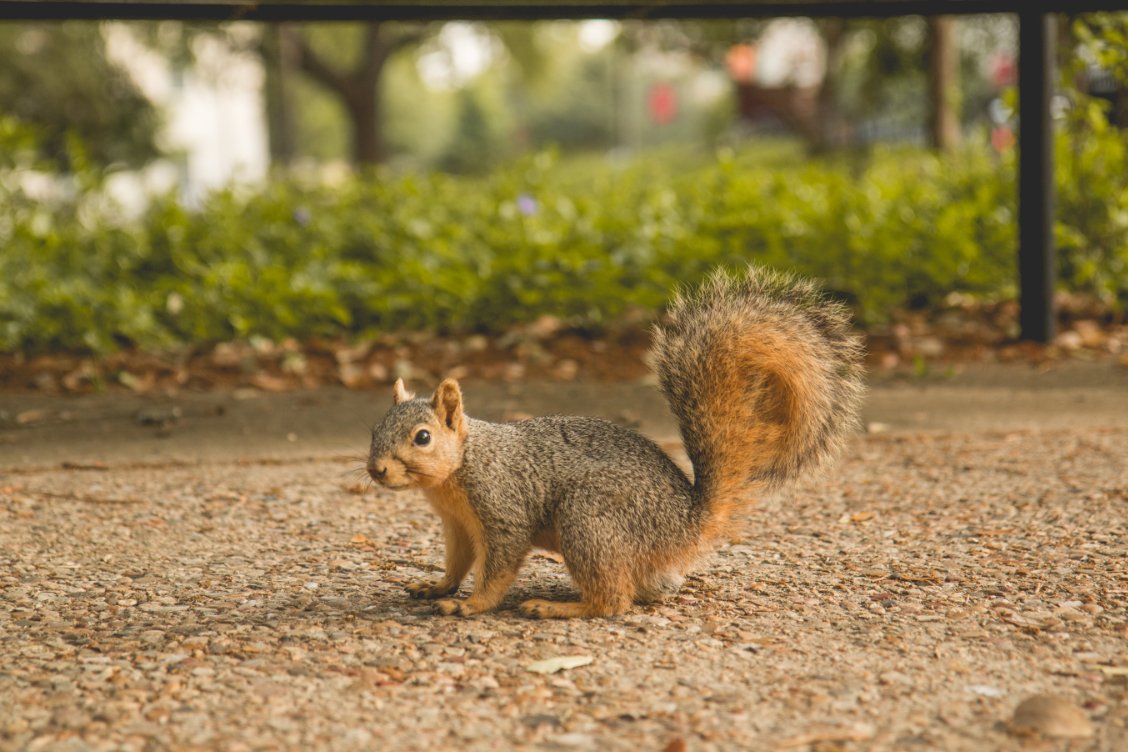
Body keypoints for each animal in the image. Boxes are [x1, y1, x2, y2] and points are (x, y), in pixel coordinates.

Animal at [366, 265, 864, 618]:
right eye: (373, 430)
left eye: (423, 437)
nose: (376, 469)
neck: (459, 471)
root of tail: (688, 524)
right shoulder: (458, 523)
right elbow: (457, 561)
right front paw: (436, 586)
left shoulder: (503, 508)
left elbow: (498, 568)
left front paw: (469, 604)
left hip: (589, 517)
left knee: (614, 602)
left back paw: (559, 607)